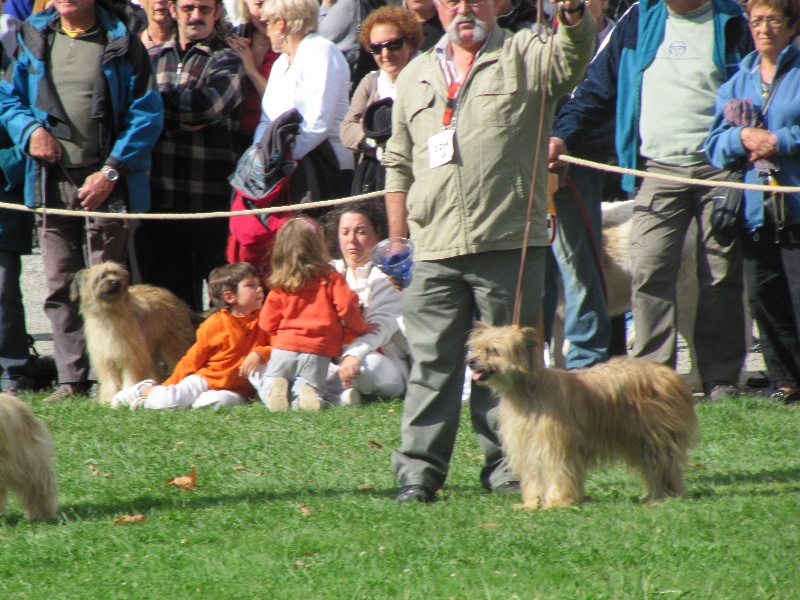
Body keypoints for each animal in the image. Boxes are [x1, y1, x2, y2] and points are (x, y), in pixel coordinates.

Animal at [70, 262, 198, 404]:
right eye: (102, 276)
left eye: (116, 273)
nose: (115, 283)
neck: (110, 314)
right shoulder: (106, 358)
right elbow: (110, 381)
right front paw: (108, 400)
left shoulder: (131, 356)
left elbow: (131, 377)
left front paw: (127, 393)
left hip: (173, 343)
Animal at [466, 324, 696, 510]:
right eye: (475, 348)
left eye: (492, 350)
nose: (470, 361)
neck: (527, 390)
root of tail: (670, 375)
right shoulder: (528, 447)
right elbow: (532, 477)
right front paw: (531, 504)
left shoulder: (555, 446)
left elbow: (558, 472)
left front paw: (556, 502)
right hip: (640, 440)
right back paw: (656, 494)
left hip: (655, 436)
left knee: (664, 465)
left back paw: (667, 494)